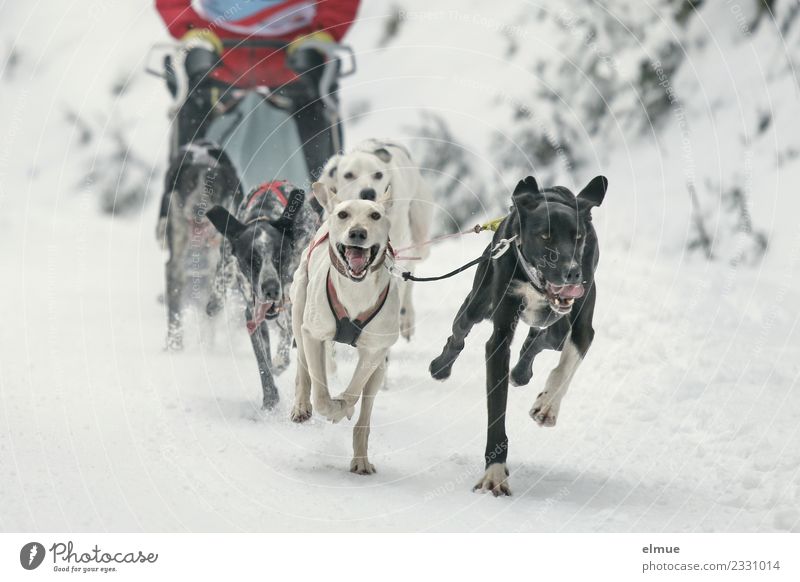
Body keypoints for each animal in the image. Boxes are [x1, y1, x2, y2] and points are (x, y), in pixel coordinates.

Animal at [157, 140, 241, 352]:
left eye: (213, 190)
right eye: (189, 185)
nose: (198, 210)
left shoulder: (220, 260)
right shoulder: (176, 265)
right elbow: (175, 310)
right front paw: (174, 345)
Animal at [205, 182, 320, 410]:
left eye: (280, 256)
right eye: (251, 259)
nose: (270, 288)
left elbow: (288, 335)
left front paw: (281, 361)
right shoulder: (253, 313)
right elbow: (262, 361)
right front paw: (270, 396)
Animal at [290, 181, 398, 474]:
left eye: (375, 215)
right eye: (343, 214)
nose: (357, 232)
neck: (355, 290)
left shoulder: (374, 350)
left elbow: (353, 391)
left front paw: (342, 407)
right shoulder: (313, 334)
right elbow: (320, 392)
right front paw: (328, 407)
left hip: (380, 367)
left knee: (365, 410)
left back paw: (361, 459)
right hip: (298, 311)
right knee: (303, 366)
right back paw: (301, 405)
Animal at [318, 140, 434, 342]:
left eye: (378, 175)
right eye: (349, 175)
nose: (368, 192)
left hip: (420, 238)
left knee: (410, 275)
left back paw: (407, 317)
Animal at [432, 175, 608, 498]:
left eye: (578, 237)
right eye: (545, 236)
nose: (572, 273)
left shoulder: (581, 327)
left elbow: (565, 365)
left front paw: (547, 406)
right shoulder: (499, 337)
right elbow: (496, 408)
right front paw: (494, 474)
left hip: (557, 325)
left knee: (542, 339)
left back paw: (522, 372)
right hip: (477, 303)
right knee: (459, 332)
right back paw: (441, 366)